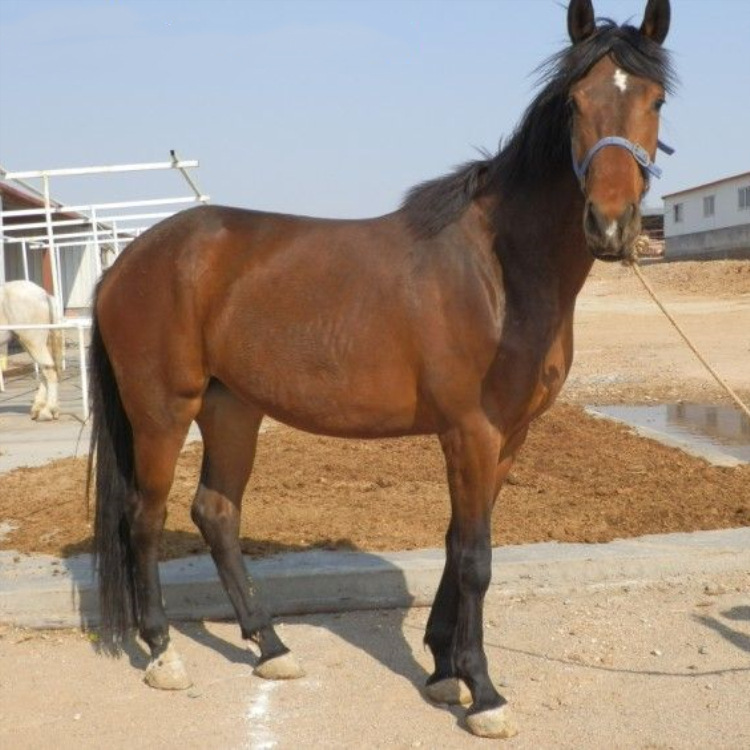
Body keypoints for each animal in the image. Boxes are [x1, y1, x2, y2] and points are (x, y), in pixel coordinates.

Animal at [0, 279, 63, 421]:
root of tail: (44, 294)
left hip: (33, 341)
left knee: (49, 371)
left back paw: (48, 411)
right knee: (45, 369)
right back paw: (38, 409)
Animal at [88, 0, 675, 738]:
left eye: (656, 100)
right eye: (575, 102)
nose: (612, 225)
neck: (500, 268)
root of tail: (127, 260)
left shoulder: (507, 437)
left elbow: (457, 543)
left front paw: (442, 669)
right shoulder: (470, 432)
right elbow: (476, 559)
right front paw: (483, 693)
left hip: (232, 407)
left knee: (215, 512)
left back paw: (271, 646)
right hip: (163, 410)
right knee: (143, 516)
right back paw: (164, 653)